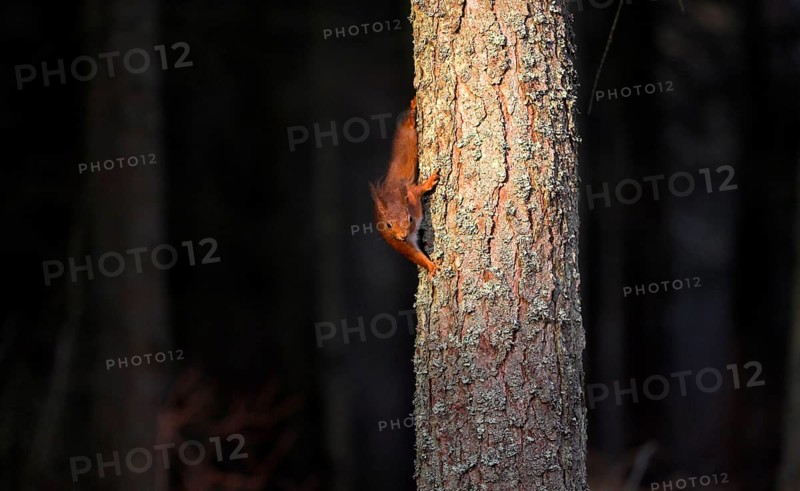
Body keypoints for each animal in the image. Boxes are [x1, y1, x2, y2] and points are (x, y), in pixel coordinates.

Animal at [369, 96, 440, 276]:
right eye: (388, 225)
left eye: (410, 218)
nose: (402, 236)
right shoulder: (396, 241)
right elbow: (414, 254)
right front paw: (431, 267)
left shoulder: (412, 194)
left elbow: (420, 189)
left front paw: (430, 181)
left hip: (409, 128)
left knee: (409, 118)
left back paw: (413, 106)